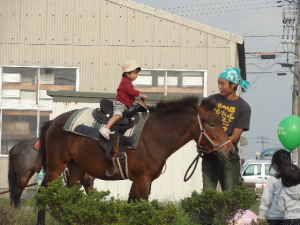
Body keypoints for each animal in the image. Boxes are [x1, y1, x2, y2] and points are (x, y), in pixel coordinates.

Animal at [37, 96, 239, 223]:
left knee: (65, 200)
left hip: (75, 169)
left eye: (220, 123)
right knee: (42, 194)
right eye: (211, 124)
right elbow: (142, 210)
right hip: (55, 167)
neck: (155, 134)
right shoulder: (142, 179)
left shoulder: (138, 180)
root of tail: (53, 122)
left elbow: (132, 207)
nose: (231, 151)